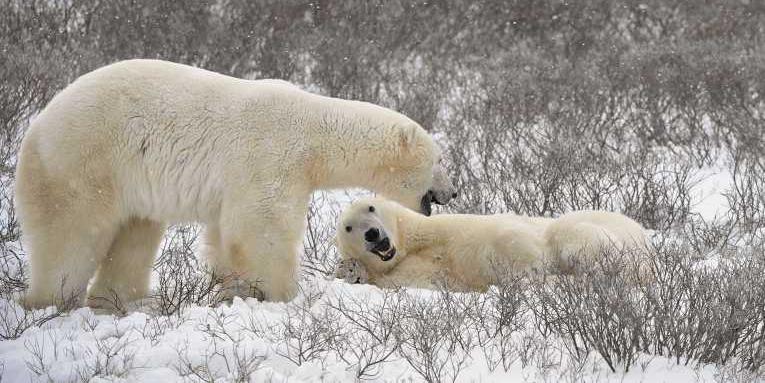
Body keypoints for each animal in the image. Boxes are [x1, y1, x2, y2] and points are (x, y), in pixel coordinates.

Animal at [16, 60, 454, 312]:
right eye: (440, 160)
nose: (452, 193)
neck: (314, 130)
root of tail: (37, 125)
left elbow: (224, 236)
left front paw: (231, 290)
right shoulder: (270, 155)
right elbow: (262, 227)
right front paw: (283, 295)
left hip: (127, 179)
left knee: (135, 233)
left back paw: (126, 300)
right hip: (84, 160)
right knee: (71, 235)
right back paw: (51, 300)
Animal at [332, 198, 644, 292]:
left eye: (371, 208)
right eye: (349, 227)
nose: (372, 234)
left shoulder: (445, 229)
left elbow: (506, 235)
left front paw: (534, 272)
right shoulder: (406, 272)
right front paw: (350, 270)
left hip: (601, 230)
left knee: (570, 236)